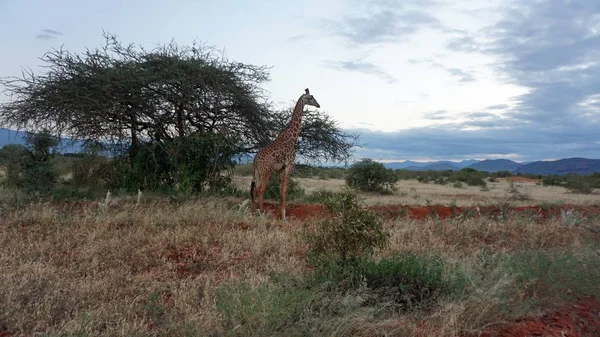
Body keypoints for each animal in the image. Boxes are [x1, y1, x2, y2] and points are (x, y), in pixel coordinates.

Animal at [251, 87, 322, 218]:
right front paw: (284, 216)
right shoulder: (289, 165)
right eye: (311, 98)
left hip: (257, 172)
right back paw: (261, 212)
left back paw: (253, 212)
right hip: (266, 172)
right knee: (260, 189)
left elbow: (280, 190)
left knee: (255, 189)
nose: (318, 105)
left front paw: (281, 213)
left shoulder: (281, 168)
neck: (293, 137)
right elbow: (285, 189)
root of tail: (255, 161)